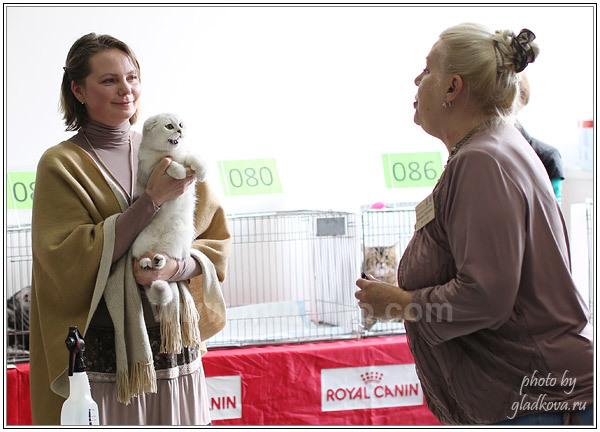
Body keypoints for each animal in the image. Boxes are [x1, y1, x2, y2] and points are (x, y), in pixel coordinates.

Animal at [131, 113, 207, 306]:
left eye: (180, 124)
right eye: (169, 126)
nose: (180, 130)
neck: (168, 152)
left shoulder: (184, 155)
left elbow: (192, 157)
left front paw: (202, 172)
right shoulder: (148, 170)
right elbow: (168, 164)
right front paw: (179, 172)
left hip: (176, 244)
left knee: (166, 260)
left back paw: (156, 261)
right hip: (139, 244)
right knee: (142, 258)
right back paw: (147, 263)